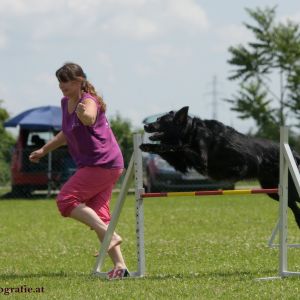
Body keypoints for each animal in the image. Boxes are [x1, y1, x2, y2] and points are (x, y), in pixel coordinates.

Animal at [141, 106, 300, 229]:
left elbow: (179, 146)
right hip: (273, 190)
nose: (145, 126)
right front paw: (146, 146)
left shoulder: (201, 160)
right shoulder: (181, 163)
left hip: (287, 187)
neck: (191, 131)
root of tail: (293, 152)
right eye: (157, 119)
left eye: (162, 121)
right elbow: (168, 150)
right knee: (293, 205)